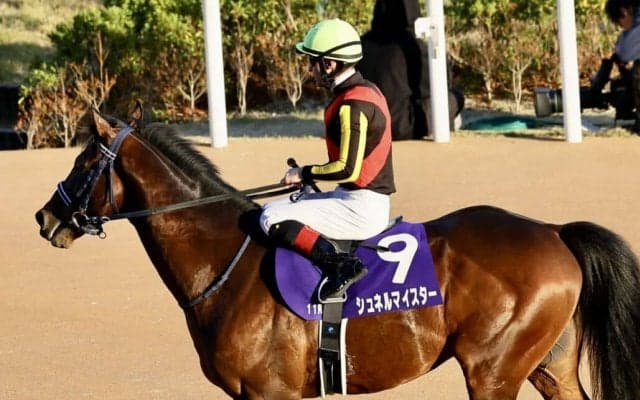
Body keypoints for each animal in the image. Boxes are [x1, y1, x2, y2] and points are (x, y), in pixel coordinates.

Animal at [35, 106, 640, 400]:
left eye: (84, 161)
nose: (46, 217)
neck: (226, 264)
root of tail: (553, 231)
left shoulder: (270, 394)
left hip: (492, 373)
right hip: (547, 367)